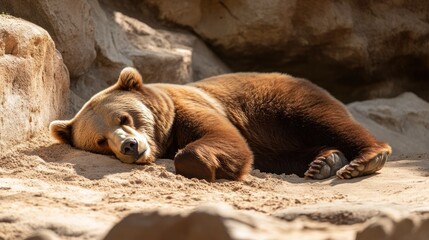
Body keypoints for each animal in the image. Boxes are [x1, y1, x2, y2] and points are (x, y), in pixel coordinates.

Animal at [50, 66, 392, 181]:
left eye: (124, 118)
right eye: (100, 141)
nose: (130, 145)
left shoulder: (189, 106)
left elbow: (222, 137)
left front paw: (202, 164)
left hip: (281, 102)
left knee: (323, 119)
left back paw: (365, 159)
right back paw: (324, 162)